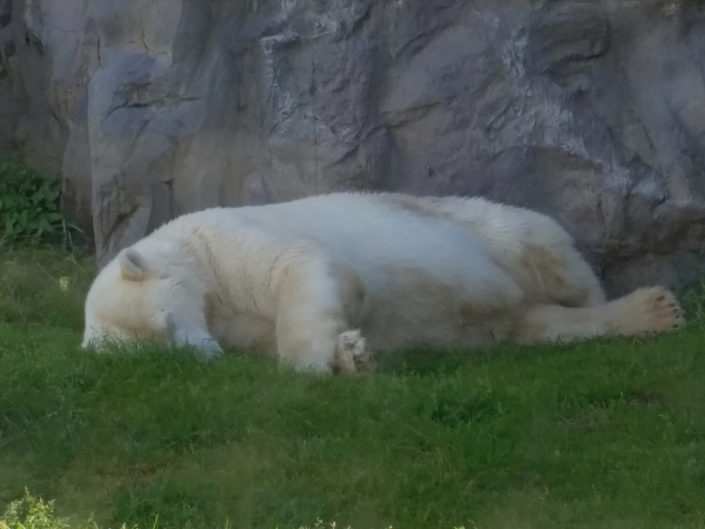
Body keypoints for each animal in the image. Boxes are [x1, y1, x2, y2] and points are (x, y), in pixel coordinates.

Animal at [82, 192, 685, 373]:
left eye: (167, 322)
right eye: (160, 351)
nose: (205, 356)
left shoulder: (230, 244)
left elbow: (306, 270)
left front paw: (331, 360)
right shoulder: (230, 322)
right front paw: (349, 355)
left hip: (492, 230)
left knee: (555, 265)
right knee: (539, 325)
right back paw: (653, 312)